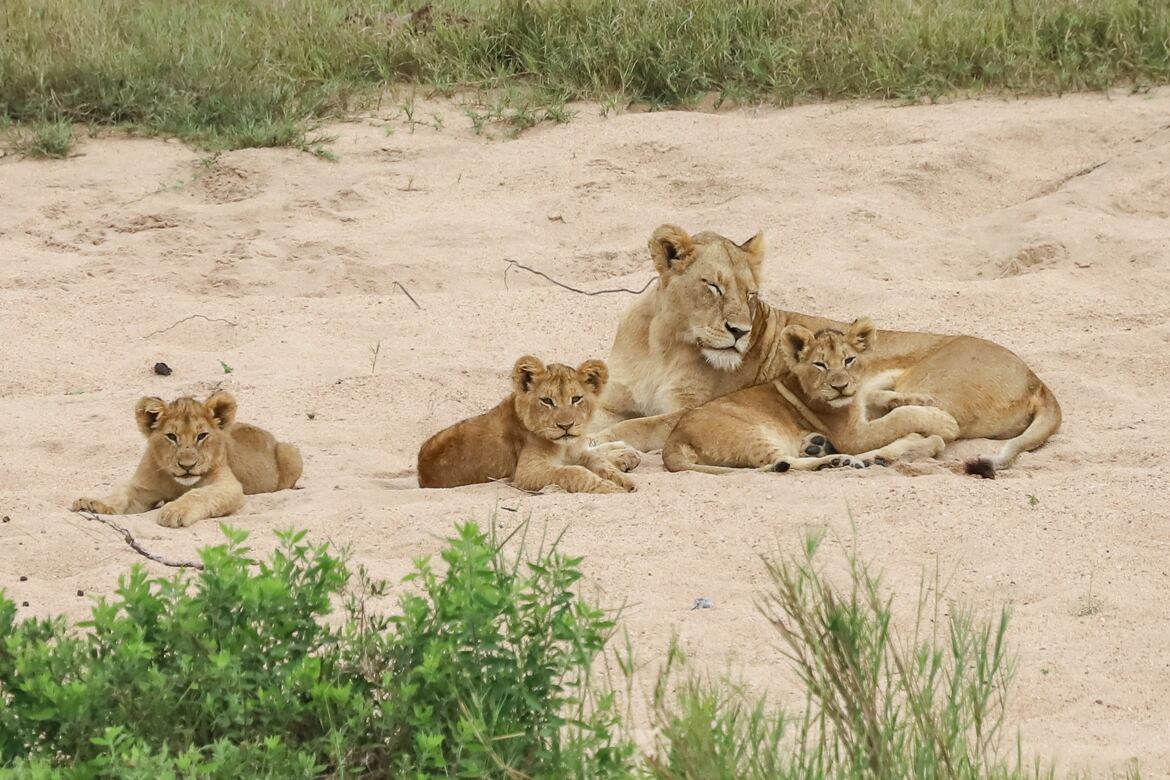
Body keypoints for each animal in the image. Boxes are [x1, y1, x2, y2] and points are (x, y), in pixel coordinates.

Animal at [599, 222, 1067, 472]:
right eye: (712, 286)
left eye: (750, 295)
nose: (740, 332)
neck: (663, 342)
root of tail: (1037, 380)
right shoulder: (613, 398)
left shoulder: (690, 408)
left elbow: (637, 427)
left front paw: (609, 446)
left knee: (927, 433)